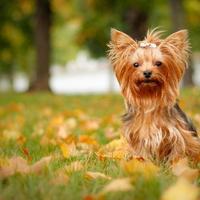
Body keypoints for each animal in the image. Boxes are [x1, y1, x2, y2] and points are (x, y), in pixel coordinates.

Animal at [108, 27, 200, 162]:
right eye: (136, 64)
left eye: (158, 63)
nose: (147, 72)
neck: (149, 98)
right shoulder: (138, 136)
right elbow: (142, 153)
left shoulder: (178, 134)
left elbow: (177, 152)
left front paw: (176, 165)